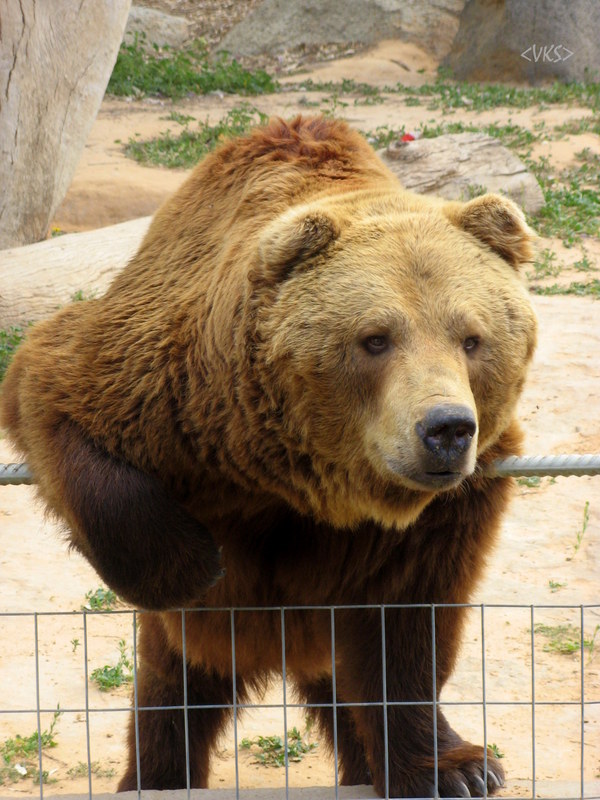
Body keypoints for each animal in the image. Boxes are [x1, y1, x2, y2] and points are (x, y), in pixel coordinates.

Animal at [0, 115, 536, 796]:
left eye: (472, 338)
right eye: (375, 339)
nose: (445, 429)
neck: (300, 478)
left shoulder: (445, 511)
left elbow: (405, 631)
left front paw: (454, 769)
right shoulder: (169, 389)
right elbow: (53, 386)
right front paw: (191, 562)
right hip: (202, 638)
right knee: (174, 690)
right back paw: (158, 775)